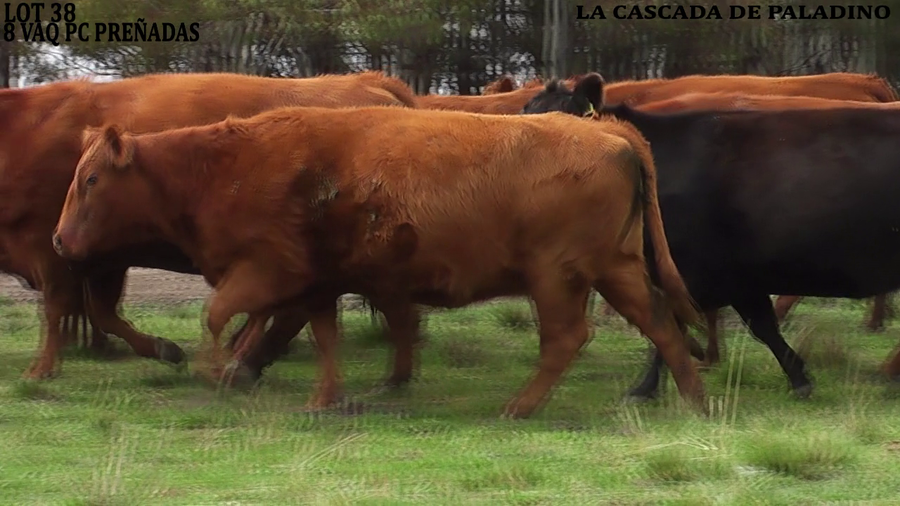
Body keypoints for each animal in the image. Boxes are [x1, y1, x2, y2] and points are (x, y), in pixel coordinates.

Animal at [1, 70, 417, 380]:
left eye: (88, 180)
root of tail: (370, 83)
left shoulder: (58, 253)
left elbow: (59, 309)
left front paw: (41, 369)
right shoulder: (93, 257)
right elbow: (101, 312)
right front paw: (163, 349)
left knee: (291, 310)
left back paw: (246, 362)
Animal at [52, 104, 707, 418]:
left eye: (90, 180)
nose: (58, 241)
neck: (225, 165)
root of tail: (612, 133)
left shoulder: (268, 271)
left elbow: (218, 316)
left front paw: (215, 371)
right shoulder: (318, 282)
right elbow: (323, 335)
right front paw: (323, 398)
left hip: (558, 278)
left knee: (568, 337)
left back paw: (519, 407)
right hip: (615, 270)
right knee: (660, 321)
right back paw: (695, 401)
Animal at [520, 75, 900, 400]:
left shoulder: (694, 270)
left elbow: (672, 327)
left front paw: (644, 387)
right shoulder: (739, 275)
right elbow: (763, 326)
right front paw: (799, 376)